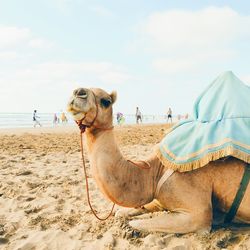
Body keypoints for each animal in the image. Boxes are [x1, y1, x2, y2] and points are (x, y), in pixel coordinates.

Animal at [67, 87, 250, 233]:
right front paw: (123, 214)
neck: (155, 171)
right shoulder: (160, 198)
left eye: (106, 101)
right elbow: (126, 211)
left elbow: (136, 223)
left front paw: (129, 226)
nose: (78, 92)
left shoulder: (198, 211)